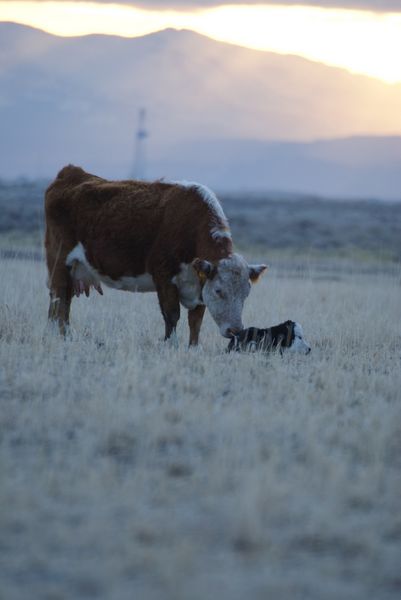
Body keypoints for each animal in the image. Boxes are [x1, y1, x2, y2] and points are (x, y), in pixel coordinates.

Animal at [44, 166, 266, 344]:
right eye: (219, 291)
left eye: (246, 293)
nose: (235, 331)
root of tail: (71, 172)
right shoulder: (164, 277)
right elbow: (172, 316)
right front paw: (171, 345)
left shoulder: (200, 287)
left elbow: (195, 322)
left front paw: (193, 348)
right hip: (59, 263)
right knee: (59, 301)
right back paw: (60, 336)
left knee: (63, 303)